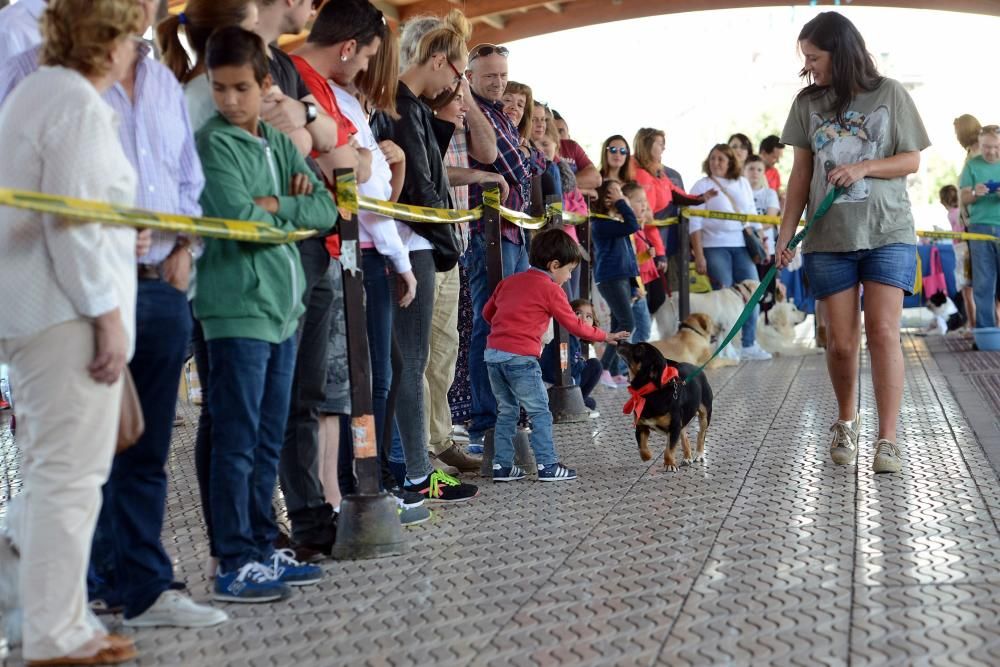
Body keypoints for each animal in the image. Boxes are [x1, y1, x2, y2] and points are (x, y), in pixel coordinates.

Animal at [616, 342, 712, 472]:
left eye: (639, 349)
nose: (620, 341)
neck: (649, 392)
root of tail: (696, 368)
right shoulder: (641, 427)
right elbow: (642, 447)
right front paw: (648, 456)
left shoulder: (674, 427)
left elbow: (669, 449)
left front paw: (670, 464)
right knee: (684, 436)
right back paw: (687, 457)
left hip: (705, 415)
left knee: (701, 434)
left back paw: (700, 454)